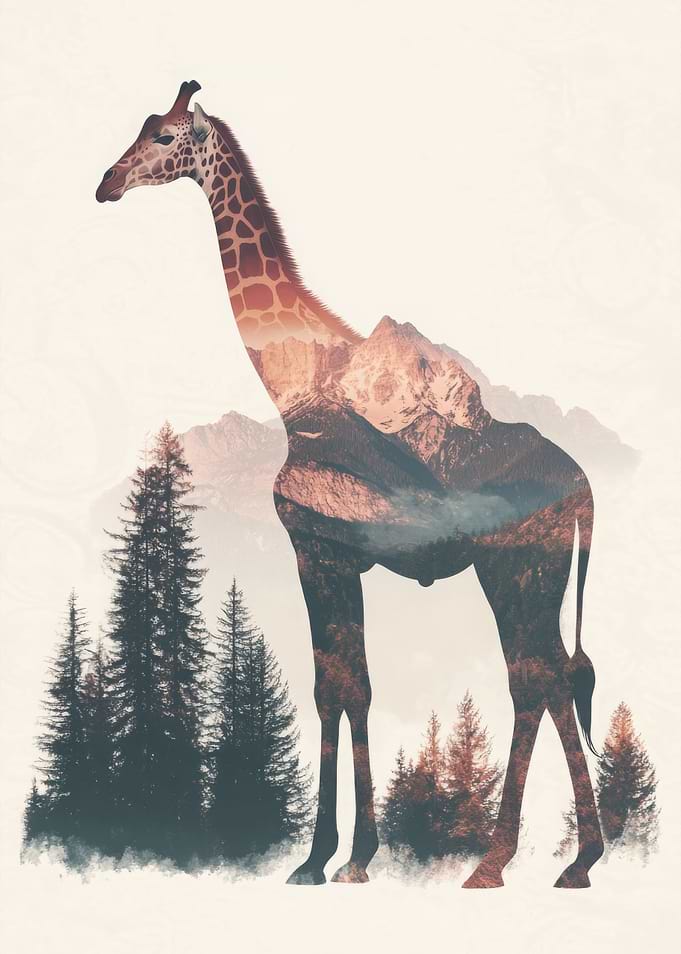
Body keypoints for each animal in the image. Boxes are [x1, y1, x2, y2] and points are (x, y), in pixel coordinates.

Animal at [97, 81, 605, 888]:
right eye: (144, 127)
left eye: (166, 136)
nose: (106, 184)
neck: (290, 387)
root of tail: (584, 484)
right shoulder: (338, 558)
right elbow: (345, 686)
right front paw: (340, 854)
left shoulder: (317, 550)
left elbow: (338, 687)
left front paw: (330, 858)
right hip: (528, 574)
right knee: (547, 680)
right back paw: (549, 860)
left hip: (518, 568)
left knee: (541, 680)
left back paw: (524, 861)